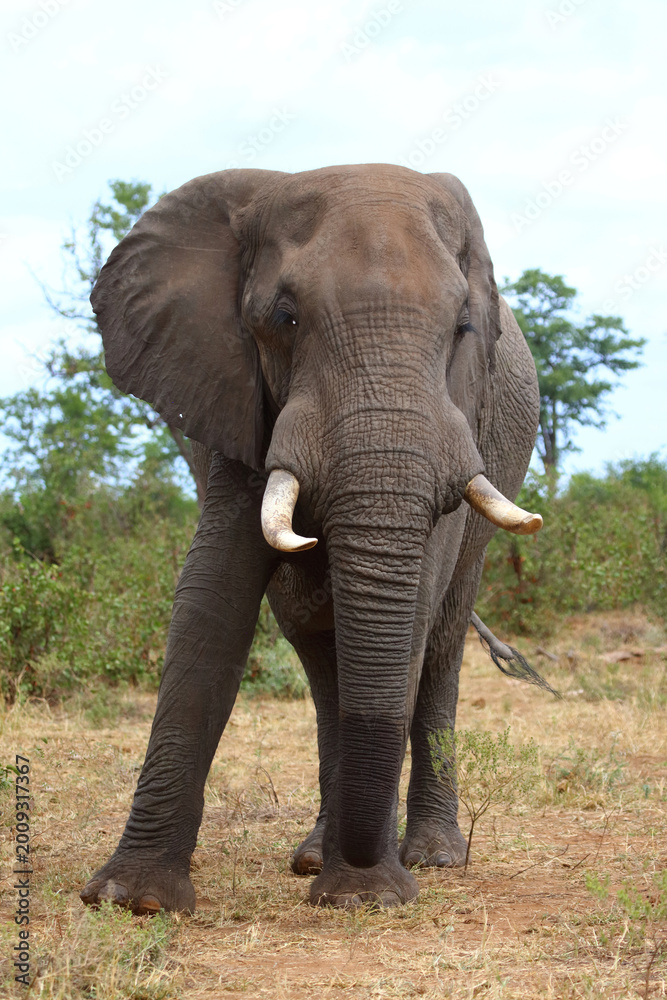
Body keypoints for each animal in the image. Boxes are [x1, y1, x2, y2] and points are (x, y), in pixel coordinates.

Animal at [80, 163, 546, 914]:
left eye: (463, 328)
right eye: (284, 319)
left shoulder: (460, 417)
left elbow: (414, 606)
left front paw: (368, 895)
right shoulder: (231, 392)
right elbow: (212, 601)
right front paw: (132, 898)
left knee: (442, 638)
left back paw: (433, 857)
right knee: (316, 644)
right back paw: (313, 858)